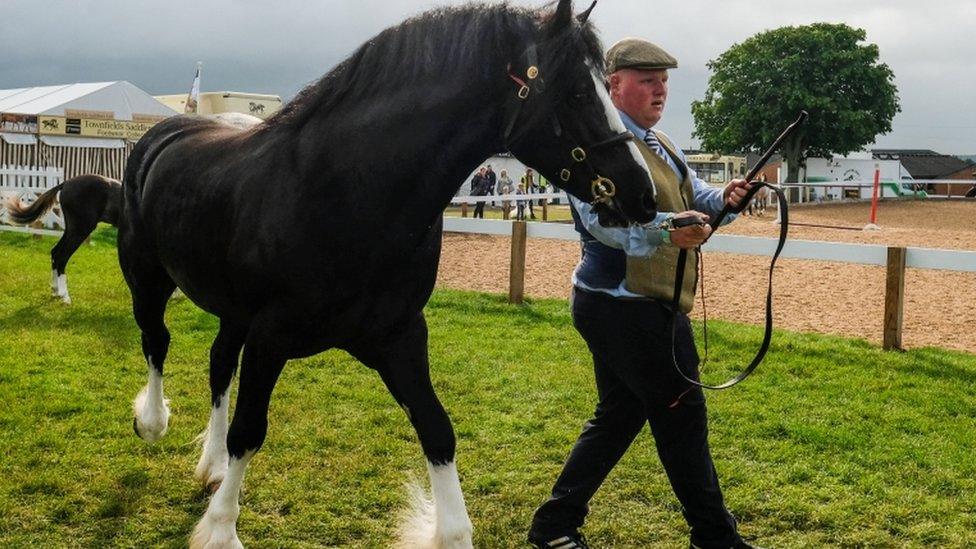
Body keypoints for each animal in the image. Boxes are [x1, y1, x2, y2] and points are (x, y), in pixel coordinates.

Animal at [120, 2, 656, 544]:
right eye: (578, 92)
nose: (643, 193)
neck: (346, 192)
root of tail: (162, 135)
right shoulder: (270, 337)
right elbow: (249, 432)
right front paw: (220, 531)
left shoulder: (398, 338)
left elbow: (437, 430)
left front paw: (448, 532)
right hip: (149, 280)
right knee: (157, 341)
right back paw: (153, 422)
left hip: (233, 311)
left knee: (218, 363)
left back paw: (209, 466)